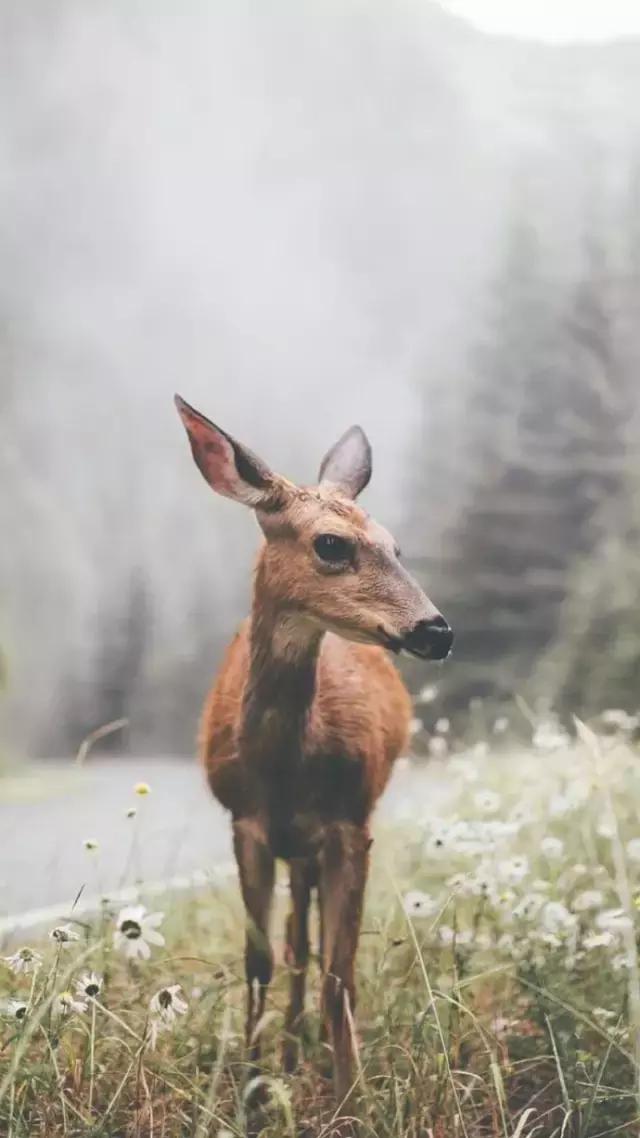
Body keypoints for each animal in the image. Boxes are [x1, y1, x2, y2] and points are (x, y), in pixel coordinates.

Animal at [174, 396, 450, 1124]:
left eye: (396, 547)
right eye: (331, 544)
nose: (437, 630)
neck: (282, 772)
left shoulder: (351, 822)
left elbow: (338, 972)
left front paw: (352, 1104)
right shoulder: (246, 824)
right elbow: (259, 962)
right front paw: (251, 1098)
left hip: (324, 837)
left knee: (316, 944)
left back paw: (313, 1054)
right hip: (293, 847)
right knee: (296, 940)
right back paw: (293, 1055)